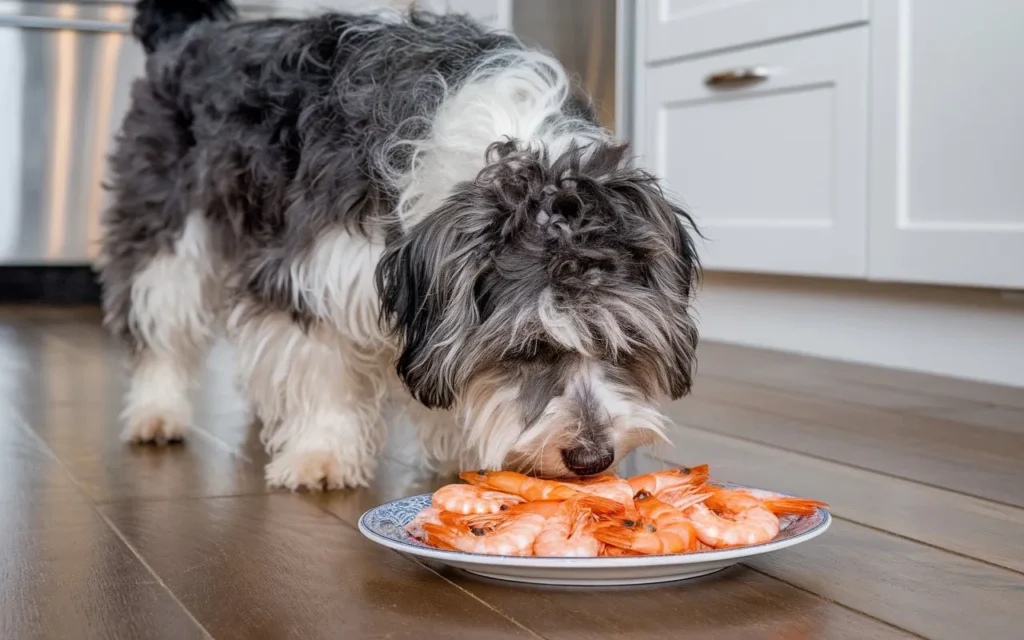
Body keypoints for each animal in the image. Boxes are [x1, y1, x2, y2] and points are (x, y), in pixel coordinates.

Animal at [99, 0, 700, 489]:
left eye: (625, 344)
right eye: (528, 350)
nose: (592, 458)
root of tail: (189, 35)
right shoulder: (315, 270)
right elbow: (323, 371)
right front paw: (322, 455)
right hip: (166, 229)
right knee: (160, 325)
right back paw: (156, 413)